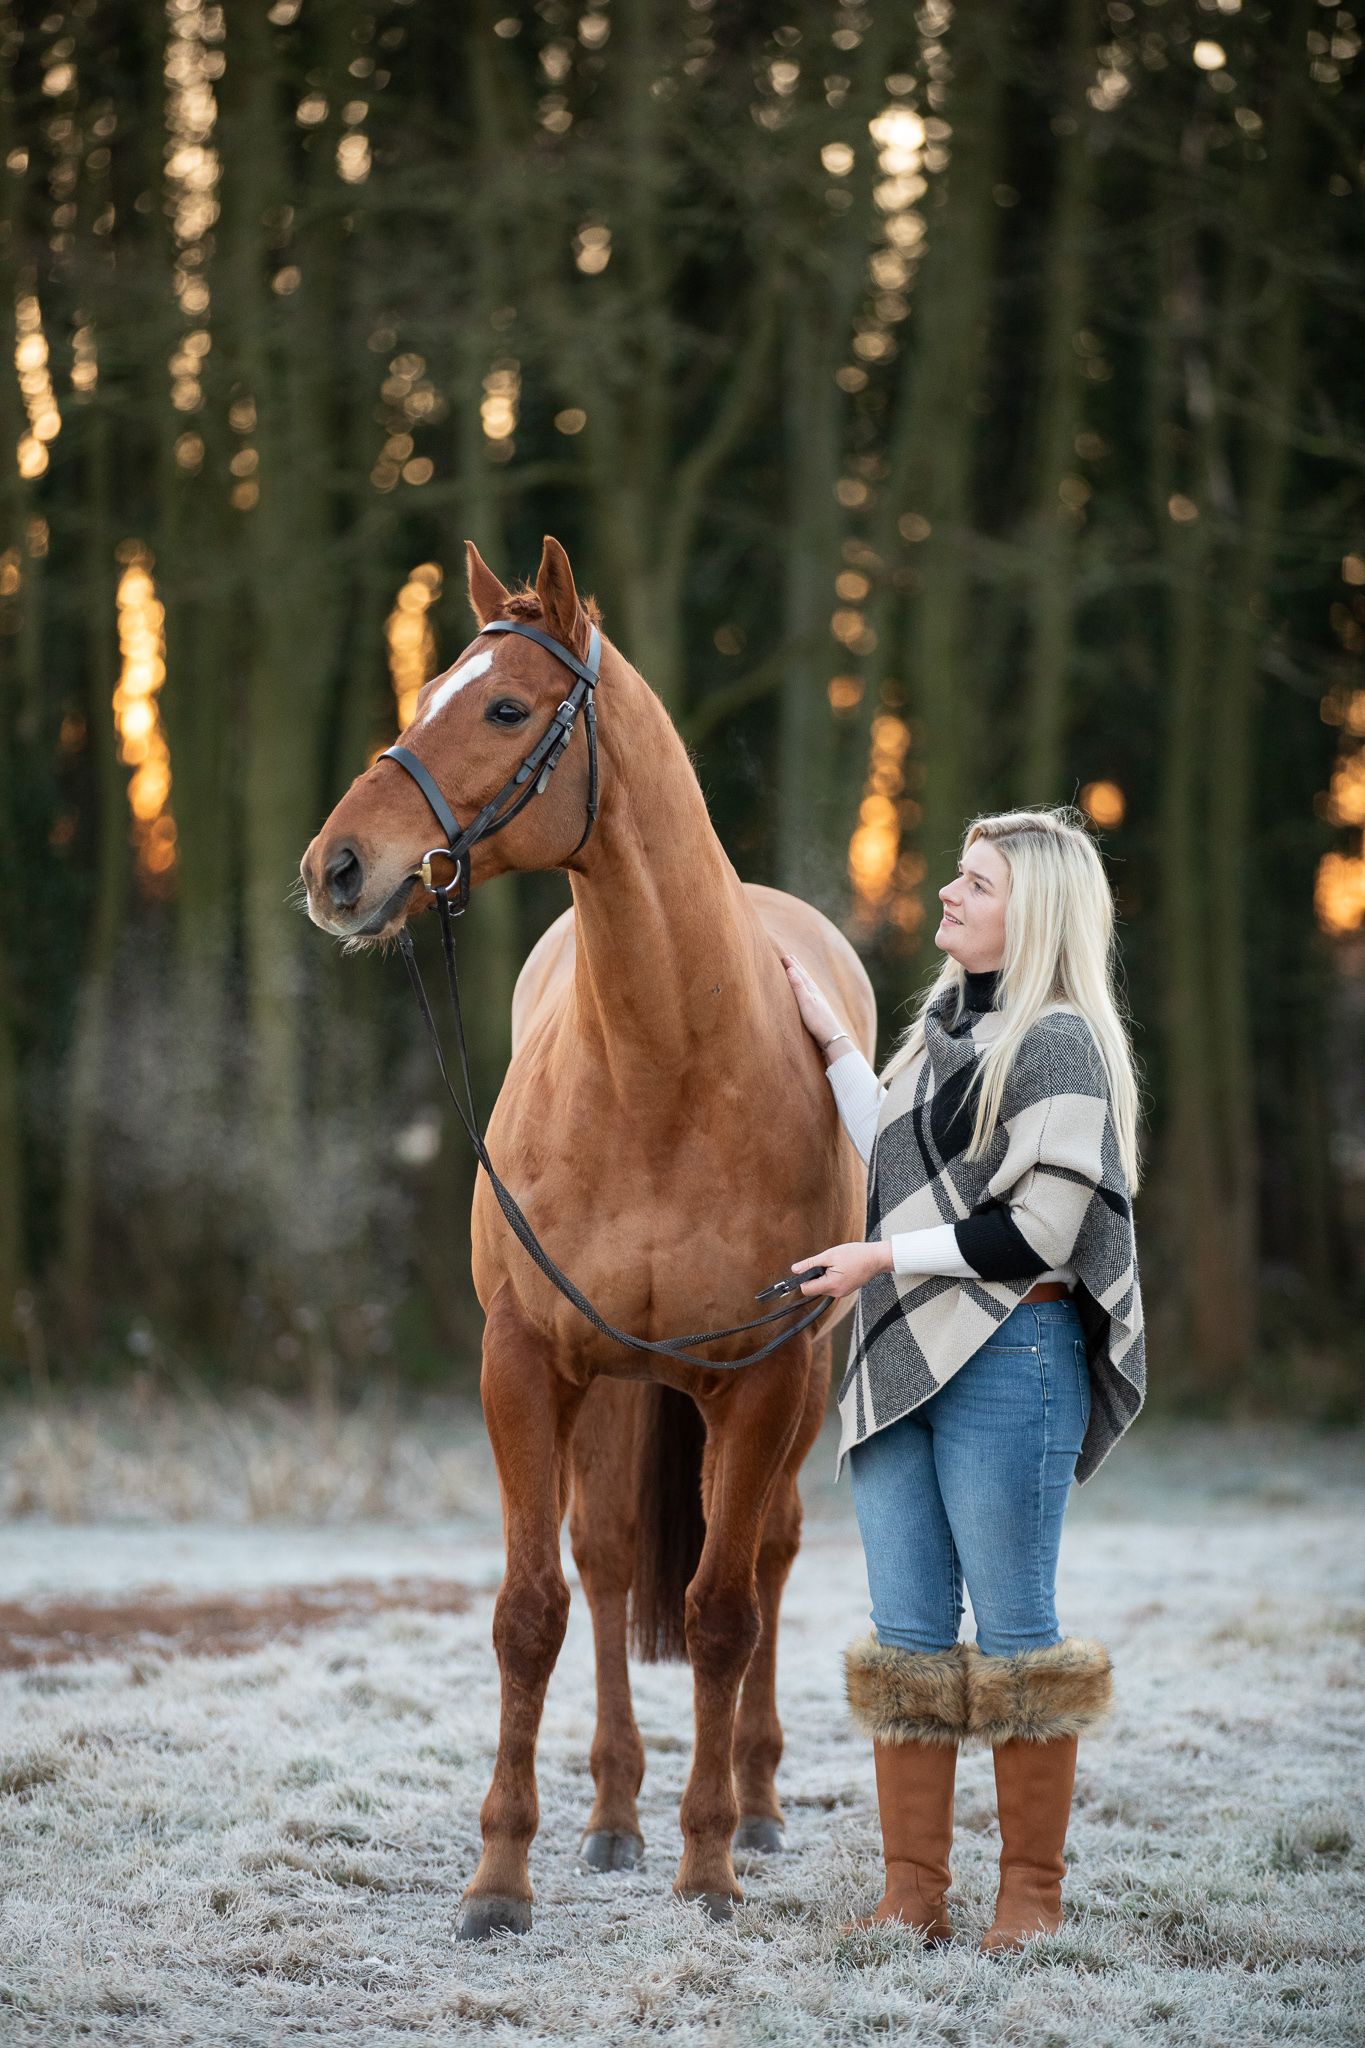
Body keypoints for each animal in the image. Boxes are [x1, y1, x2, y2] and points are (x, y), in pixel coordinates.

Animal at [300, 535, 876, 1938]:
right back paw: (612, 1813)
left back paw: (752, 1804)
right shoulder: (526, 1359)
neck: (665, 1068)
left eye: (507, 707)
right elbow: (531, 1611)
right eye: (428, 694)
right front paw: (499, 1876)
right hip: (615, 1384)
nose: (338, 868)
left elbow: (722, 1611)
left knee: (765, 1560)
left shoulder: (760, 1377)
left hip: (780, 1390)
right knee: (610, 1564)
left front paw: (710, 1862)